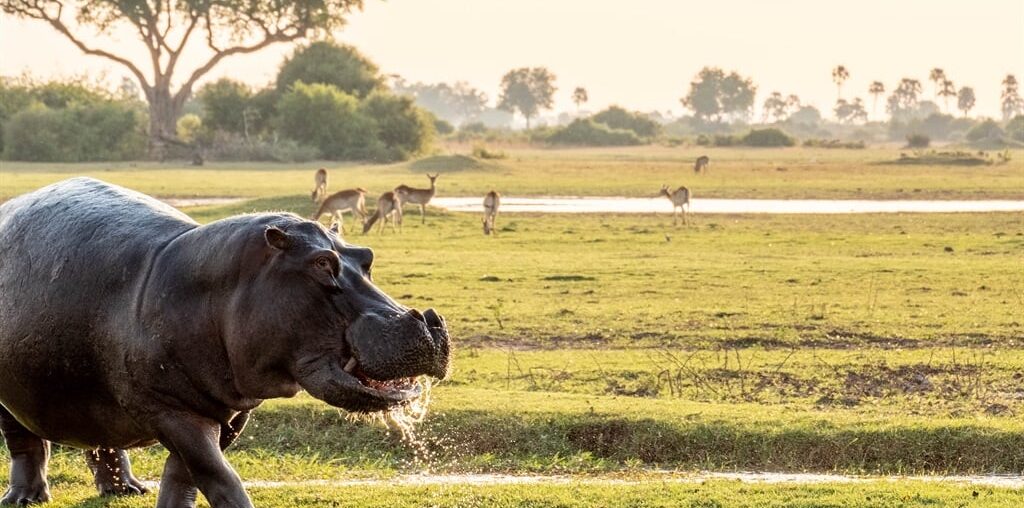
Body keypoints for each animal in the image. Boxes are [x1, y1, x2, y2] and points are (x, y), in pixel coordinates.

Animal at [0, 176, 448, 505]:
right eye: (322, 263)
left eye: (366, 256)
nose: (427, 321)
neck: (220, 287)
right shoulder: (171, 410)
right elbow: (218, 475)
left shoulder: (229, 410)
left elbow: (184, 476)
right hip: (13, 401)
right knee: (25, 444)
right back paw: (25, 498)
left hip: (90, 391)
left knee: (102, 441)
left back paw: (125, 490)